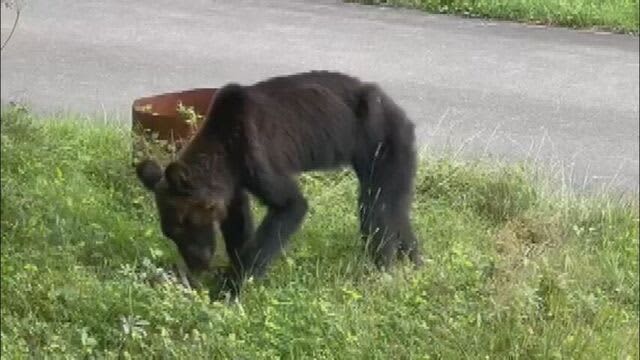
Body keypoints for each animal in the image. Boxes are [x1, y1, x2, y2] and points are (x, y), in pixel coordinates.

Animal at [136, 71, 420, 298]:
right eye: (170, 233)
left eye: (182, 225)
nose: (197, 264)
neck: (225, 153)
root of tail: (400, 110)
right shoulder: (234, 182)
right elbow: (237, 221)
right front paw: (230, 271)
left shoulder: (256, 156)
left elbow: (290, 205)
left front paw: (232, 287)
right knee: (395, 208)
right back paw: (415, 262)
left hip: (383, 141)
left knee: (376, 209)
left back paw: (380, 271)